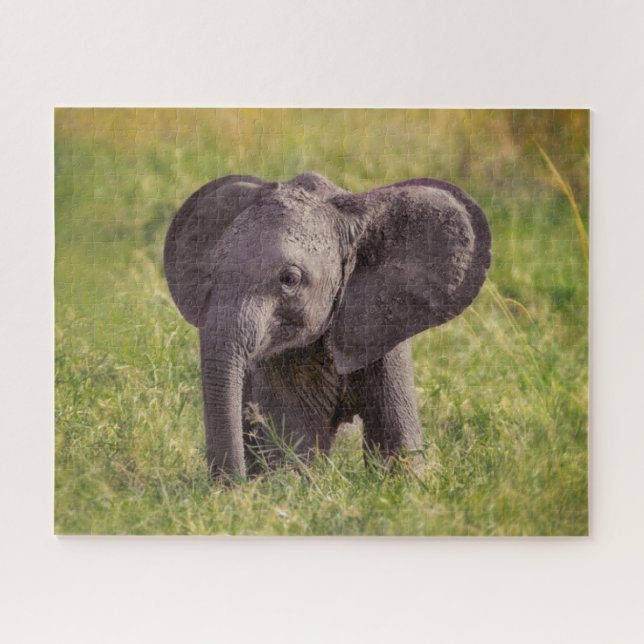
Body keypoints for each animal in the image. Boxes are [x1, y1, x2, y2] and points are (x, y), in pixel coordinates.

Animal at [164, 172, 491, 480]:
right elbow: (295, 442)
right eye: (212, 272)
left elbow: (395, 442)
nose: (233, 485)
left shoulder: (385, 330)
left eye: (290, 279)